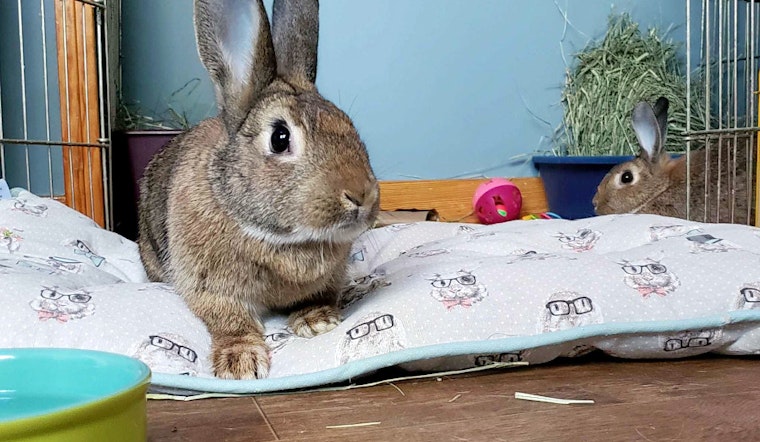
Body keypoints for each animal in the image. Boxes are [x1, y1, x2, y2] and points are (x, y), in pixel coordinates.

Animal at [137, 0, 379, 379]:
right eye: (280, 138)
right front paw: (241, 362)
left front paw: (317, 321)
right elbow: (231, 321)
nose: (361, 195)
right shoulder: (210, 288)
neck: (283, 240)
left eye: (349, 125)